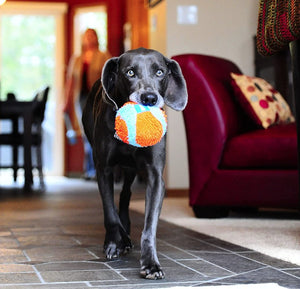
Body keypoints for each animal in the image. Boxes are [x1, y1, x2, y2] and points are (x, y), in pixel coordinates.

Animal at [82, 47, 188, 280]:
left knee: (126, 194)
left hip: (131, 170)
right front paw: (115, 243)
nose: (149, 97)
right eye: (130, 72)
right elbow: (109, 212)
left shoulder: (155, 177)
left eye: (160, 72)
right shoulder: (103, 170)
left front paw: (151, 264)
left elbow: (149, 226)